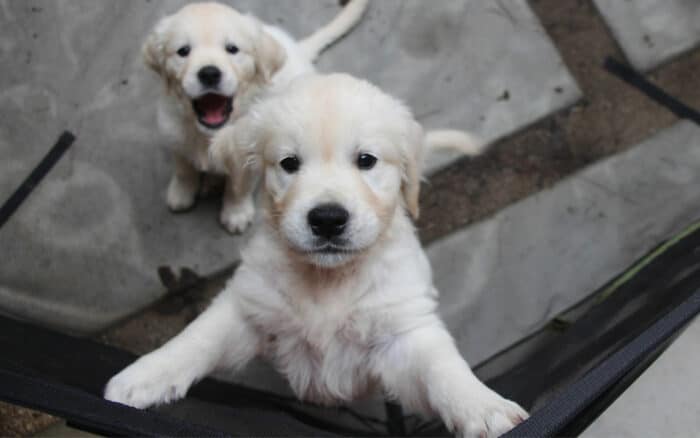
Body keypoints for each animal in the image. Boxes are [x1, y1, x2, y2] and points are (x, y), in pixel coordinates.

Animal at [105, 73, 524, 436]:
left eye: (366, 160)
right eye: (289, 163)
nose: (327, 220)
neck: (327, 279)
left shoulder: (403, 330)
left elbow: (441, 368)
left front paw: (484, 407)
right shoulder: (249, 307)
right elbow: (197, 337)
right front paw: (142, 375)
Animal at [144, 0, 370, 233]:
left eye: (232, 49)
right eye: (183, 51)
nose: (209, 73)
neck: (211, 134)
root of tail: (297, 49)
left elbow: (238, 187)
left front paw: (236, 213)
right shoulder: (174, 133)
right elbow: (183, 168)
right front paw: (181, 194)